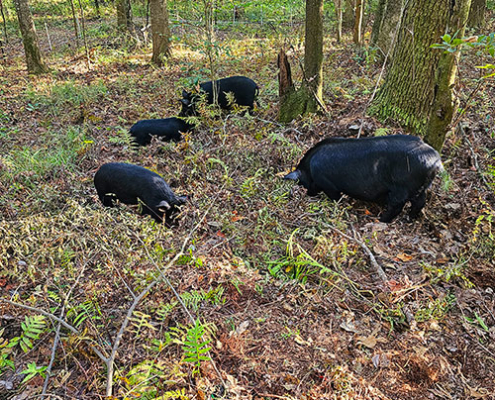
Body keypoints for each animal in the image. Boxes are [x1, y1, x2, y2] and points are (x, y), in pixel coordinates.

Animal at [284, 134, 444, 222]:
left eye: (302, 182)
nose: (308, 194)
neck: (309, 168)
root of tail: (436, 160)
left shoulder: (328, 184)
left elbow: (336, 197)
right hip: (420, 187)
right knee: (420, 202)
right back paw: (409, 219)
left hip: (403, 187)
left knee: (397, 205)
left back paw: (380, 220)